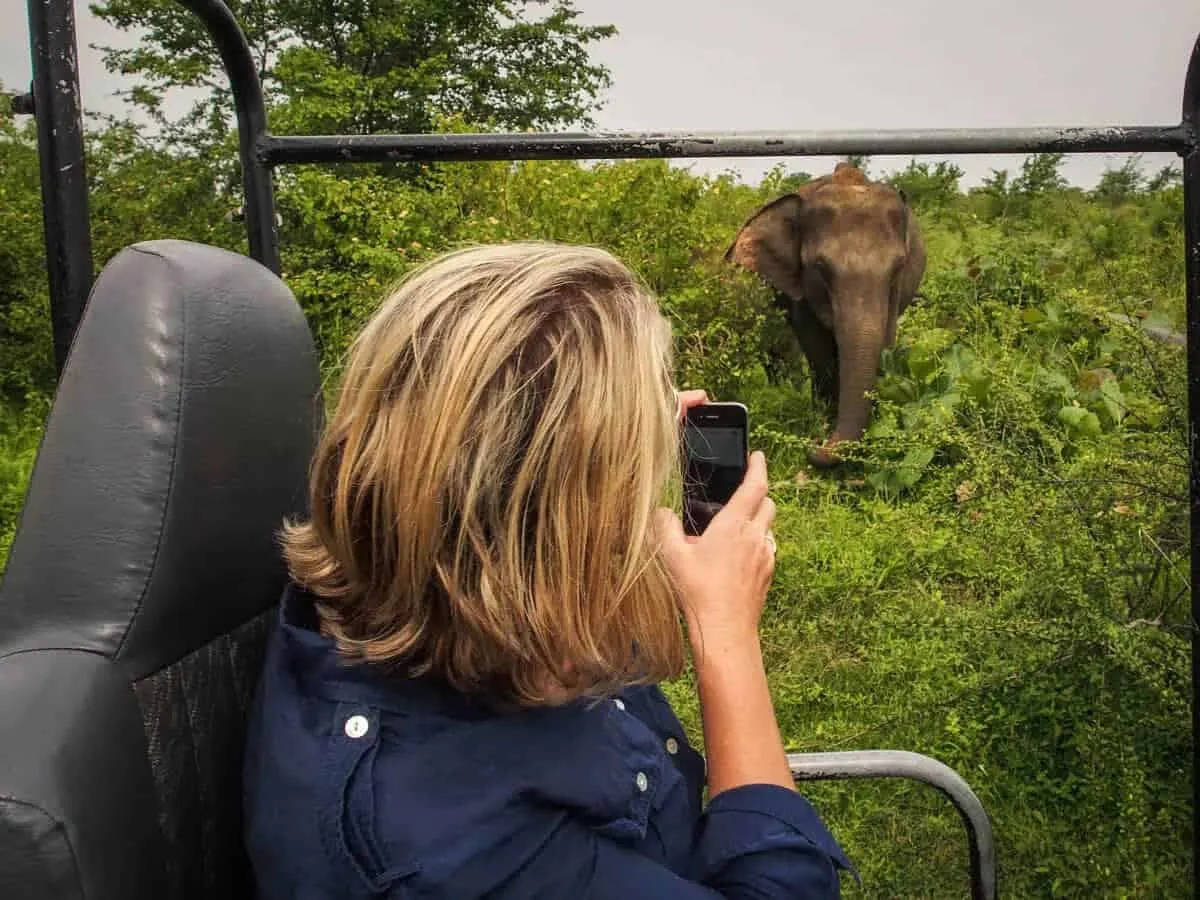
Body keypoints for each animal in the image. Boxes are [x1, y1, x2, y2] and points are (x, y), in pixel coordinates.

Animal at [720, 164, 926, 468]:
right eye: (820, 267)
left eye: (899, 266)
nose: (815, 442)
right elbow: (816, 345)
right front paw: (824, 419)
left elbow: (884, 340)